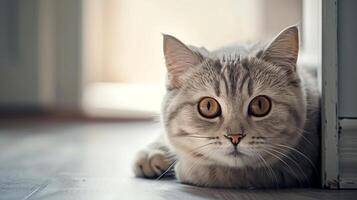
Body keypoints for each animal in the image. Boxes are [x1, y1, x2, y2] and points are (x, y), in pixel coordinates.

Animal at [131, 25, 320, 188]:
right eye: (208, 106)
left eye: (260, 105)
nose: (235, 137)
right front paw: (154, 151)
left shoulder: (293, 169)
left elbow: (228, 172)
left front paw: (186, 167)